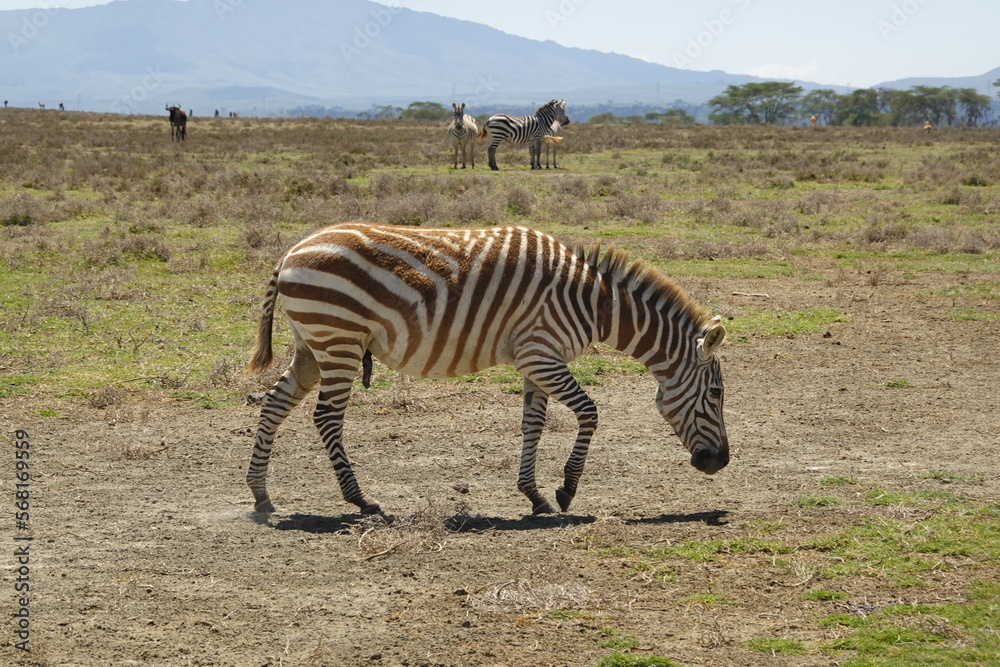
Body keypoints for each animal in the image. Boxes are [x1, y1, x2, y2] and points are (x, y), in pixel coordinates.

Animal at [245, 222, 729, 517]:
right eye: (717, 395)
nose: (720, 462)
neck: (593, 302)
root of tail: (291, 251)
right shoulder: (542, 354)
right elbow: (589, 412)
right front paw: (566, 490)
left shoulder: (537, 360)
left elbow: (533, 424)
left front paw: (534, 495)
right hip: (339, 340)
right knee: (326, 418)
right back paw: (360, 499)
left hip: (313, 346)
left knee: (274, 405)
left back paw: (261, 495)